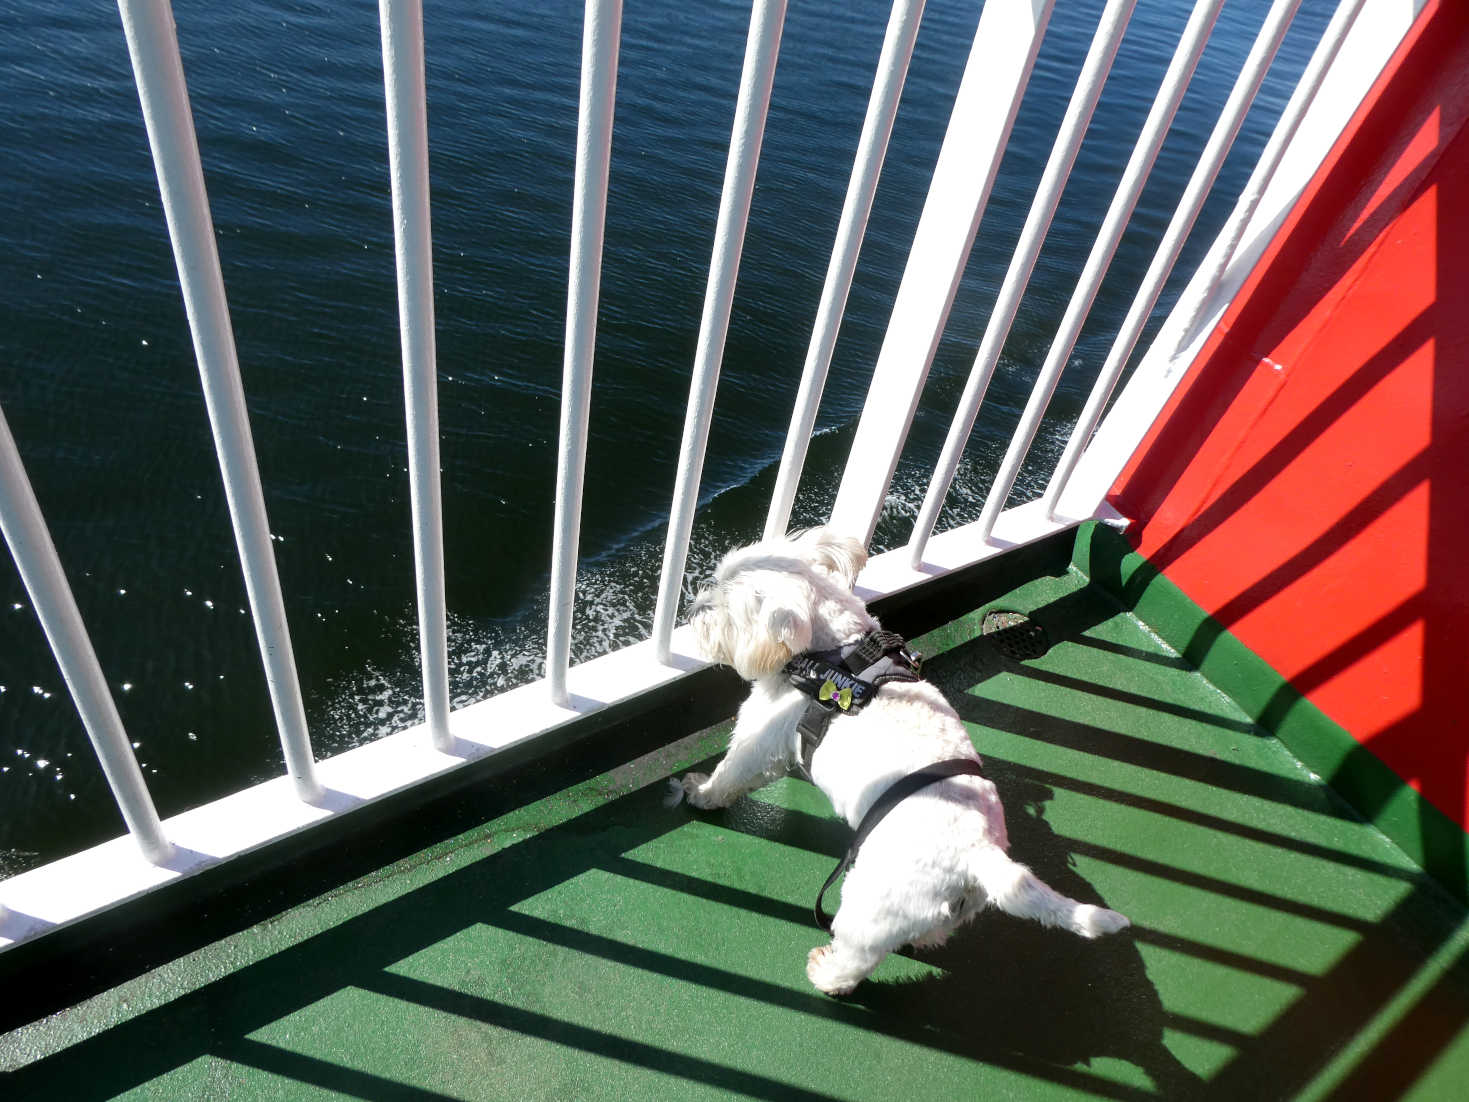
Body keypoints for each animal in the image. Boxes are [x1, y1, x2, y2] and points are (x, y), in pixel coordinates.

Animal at [672, 526, 1128, 999]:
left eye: (725, 607)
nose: (695, 608)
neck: (832, 656)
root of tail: (978, 854)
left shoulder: (759, 737)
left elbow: (730, 775)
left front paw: (699, 792)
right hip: (948, 907)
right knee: (934, 932)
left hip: (871, 904)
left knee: (857, 957)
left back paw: (827, 974)